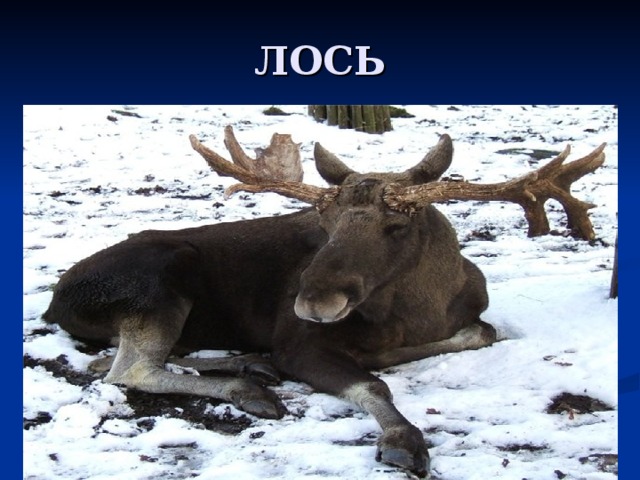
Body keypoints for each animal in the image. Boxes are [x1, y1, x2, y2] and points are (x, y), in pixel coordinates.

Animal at [43, 129, 605, 478]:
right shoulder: (299, 343)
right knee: (130, 369)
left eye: (396, 225)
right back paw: (250, 386)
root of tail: (53, 302)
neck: (420, 312)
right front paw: (404, 441)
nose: (312, 300)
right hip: (161, 281)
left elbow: (481, 331)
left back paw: (251, 365)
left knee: (109, 361)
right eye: (325, 222)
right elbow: (373, 384)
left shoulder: (470, 320)